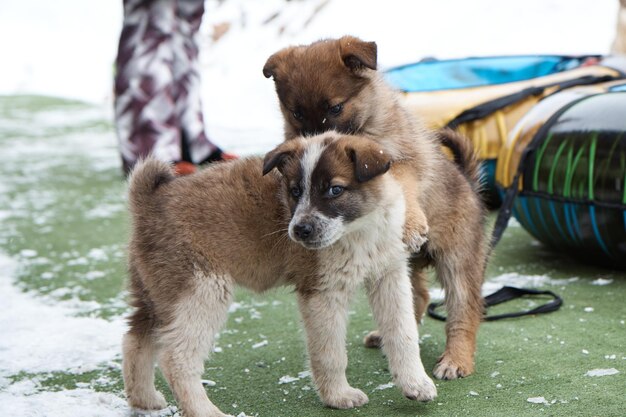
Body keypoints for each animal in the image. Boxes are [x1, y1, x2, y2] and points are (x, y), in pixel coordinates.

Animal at [122, 132, 434, 416]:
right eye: (295, 191)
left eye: (334, 190)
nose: (299, 230)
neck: (358, 231)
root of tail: (149, 200)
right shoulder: (322, 293)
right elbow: (331, 353)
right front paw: (338, 396)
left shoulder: (389, 277)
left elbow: (403, 334)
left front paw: (415, 384)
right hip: (201, 291)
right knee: (176, 358)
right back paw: (204, 411)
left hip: (159, 293)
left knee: (136, 340)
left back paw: (144, 399)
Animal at [264, 36, 488, 380]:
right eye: (296, 113)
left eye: (335, 108)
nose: (315, 143)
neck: (367, 125)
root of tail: (469, 183)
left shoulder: (402, 162)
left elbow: (403, 184)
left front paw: (411, 222)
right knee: (418, 297)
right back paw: (388, 336)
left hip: (457, 259)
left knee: (464, 310)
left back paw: (456, 359)